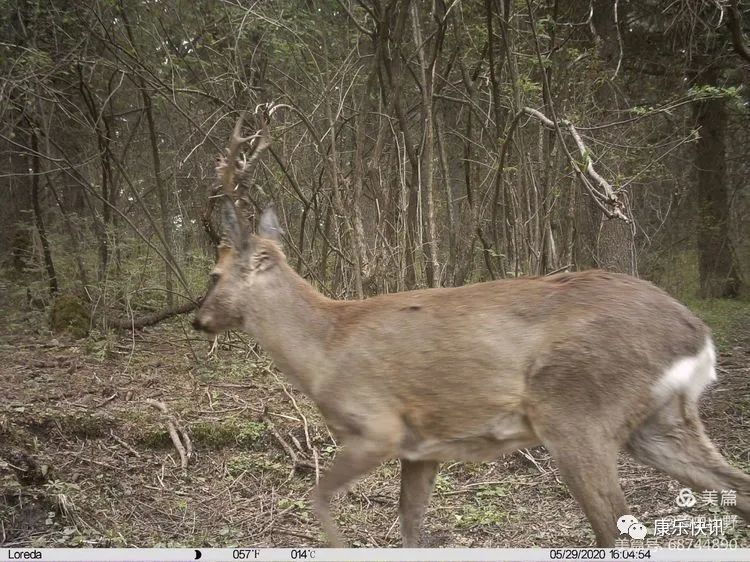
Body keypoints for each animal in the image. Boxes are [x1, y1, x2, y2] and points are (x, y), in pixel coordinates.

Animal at [195, 110, 750, 548]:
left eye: (215, 274)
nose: (199, 320)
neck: (325, 347)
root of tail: (696, 334)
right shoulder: (421, 448)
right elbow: (411, 527)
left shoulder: (377, 425)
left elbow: (320, 502)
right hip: (659, 420)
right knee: (735, 486)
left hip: (579, 415)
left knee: (616, 527)